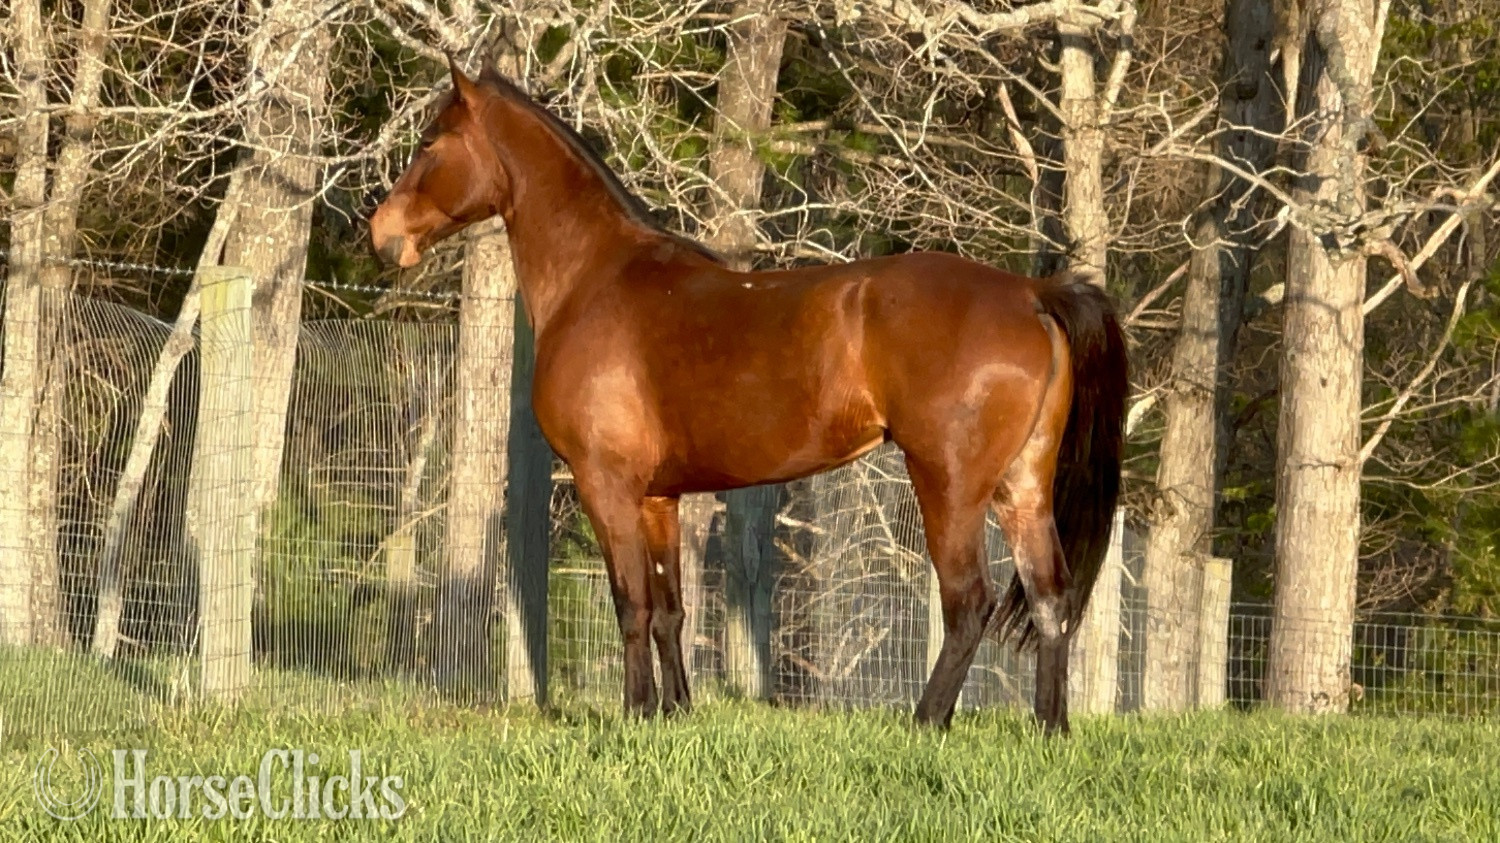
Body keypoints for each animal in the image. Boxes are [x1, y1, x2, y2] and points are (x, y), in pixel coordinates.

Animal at [369, 58, 1128, 735]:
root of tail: (1030, 293)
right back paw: (1050, 727)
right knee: (1051, 596)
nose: (381, 235)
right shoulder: (658, 498)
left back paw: (926, 721)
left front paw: (634, 714)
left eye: (430, 141)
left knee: (968, 601)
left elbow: (630, 604)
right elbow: (670, 608)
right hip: (1021, 487)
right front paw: (674, 713)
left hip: (950, 485)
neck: (596, 278)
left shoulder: (605, 483)